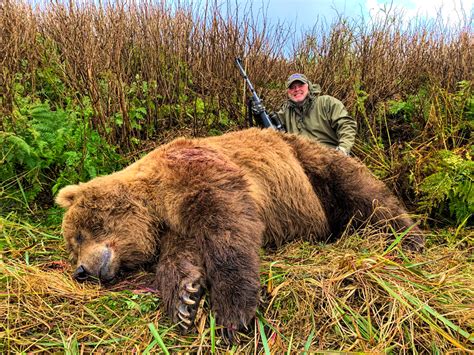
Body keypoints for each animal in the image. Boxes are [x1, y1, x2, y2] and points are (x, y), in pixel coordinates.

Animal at [55, 128, 422, 342]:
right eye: (73, 246)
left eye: (78, 236)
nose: (81, 270)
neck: (154, 201)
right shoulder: (175, 226)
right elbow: (179, 256)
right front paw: (185, 300)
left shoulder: (199, 171)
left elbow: (227, 222)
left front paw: (232, 312)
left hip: (311, 166)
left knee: (364, 192)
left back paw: (409, 238)